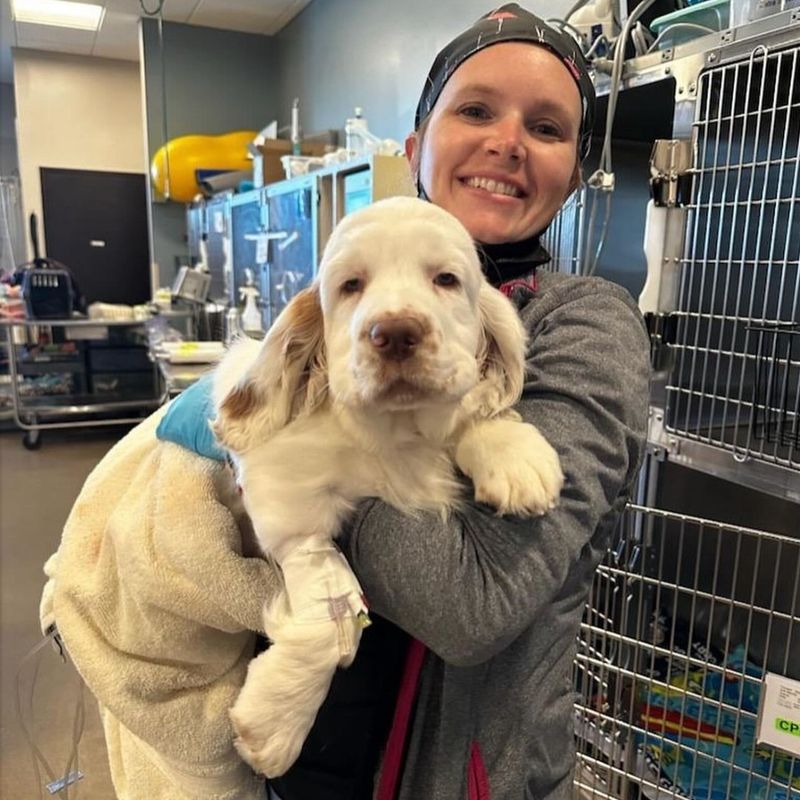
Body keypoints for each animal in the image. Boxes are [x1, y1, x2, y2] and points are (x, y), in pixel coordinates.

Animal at [212, 197, 564, 780]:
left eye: (446, 279)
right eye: (351, 285)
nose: (394, 332)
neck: (395, 432)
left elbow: (475, 406)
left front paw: (515, 456)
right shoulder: (286, 508)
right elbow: (331, 611)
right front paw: (273, 726)